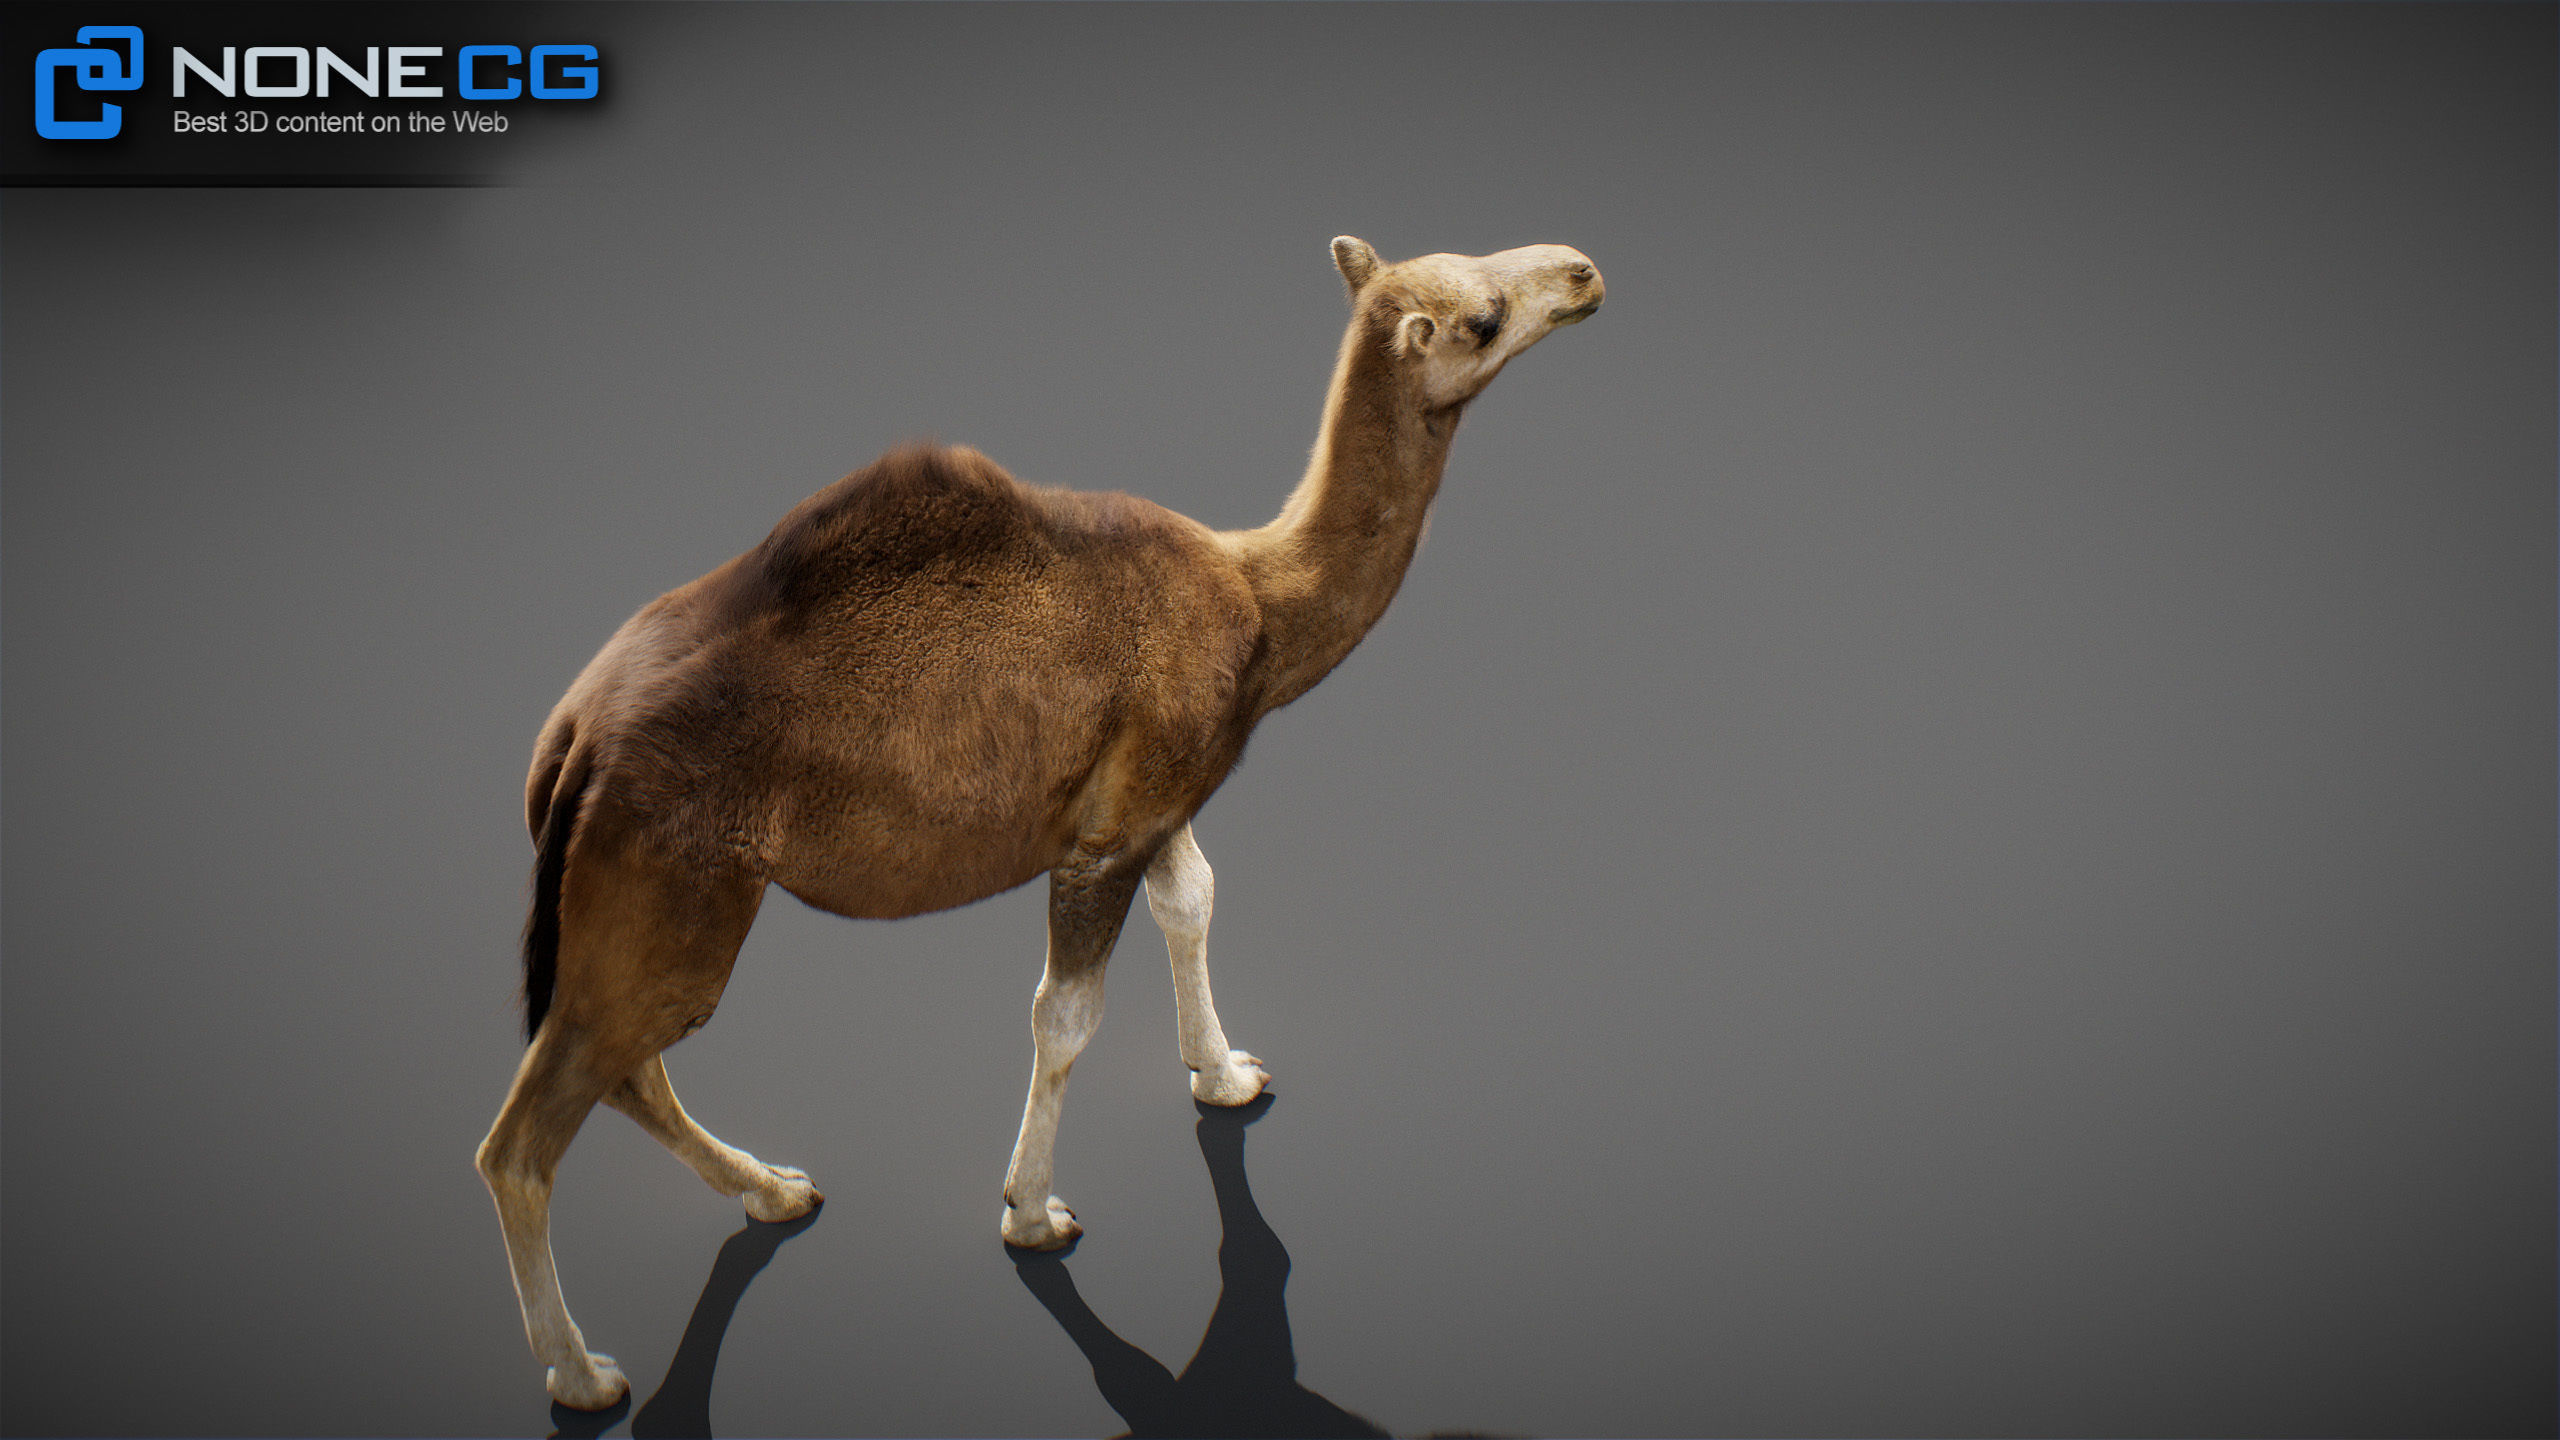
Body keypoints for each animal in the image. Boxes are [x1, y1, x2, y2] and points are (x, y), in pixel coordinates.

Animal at [475, 237, 1604, 1409]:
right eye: (1483, 315)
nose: (1580, 272)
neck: (1259, 599)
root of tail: (573, 741)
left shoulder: (1156, 797)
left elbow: (1194, 903)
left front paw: (1226, 1076)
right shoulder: (1106, 835)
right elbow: (1065, 1014)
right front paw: (1031, 1214)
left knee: (628, 1070)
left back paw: (776, 1191)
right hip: (668, 882)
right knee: (531, 1134)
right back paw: (583, 1374)